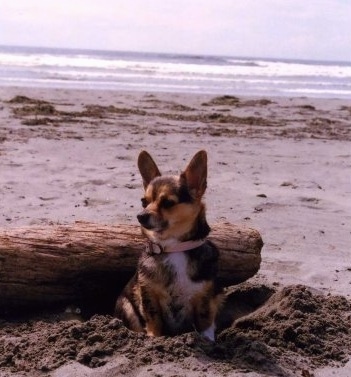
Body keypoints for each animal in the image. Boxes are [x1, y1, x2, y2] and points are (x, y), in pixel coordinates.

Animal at [116, 150, 226, 340]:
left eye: (168, 203)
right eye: (144, 202)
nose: (140, 216)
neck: (174, 247)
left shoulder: (205, 296)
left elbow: (205, 319)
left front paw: (208, 341)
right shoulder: (148, 296)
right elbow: (154, 319)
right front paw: (154, 339)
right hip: (126, 305)